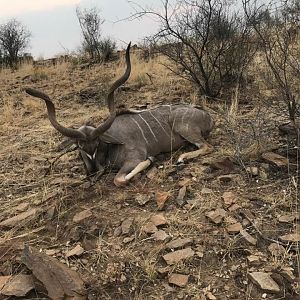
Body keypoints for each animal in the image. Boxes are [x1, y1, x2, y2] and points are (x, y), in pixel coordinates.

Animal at [25, 42, 213, 185]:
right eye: (80, 146)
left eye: (97, 144)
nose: (94, 171)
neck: (109, 146)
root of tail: (208, 117)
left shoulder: (134, 157)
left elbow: (119, 179)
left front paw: (151, 160)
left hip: (182, 126)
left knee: (206, 147)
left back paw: (182, 158)